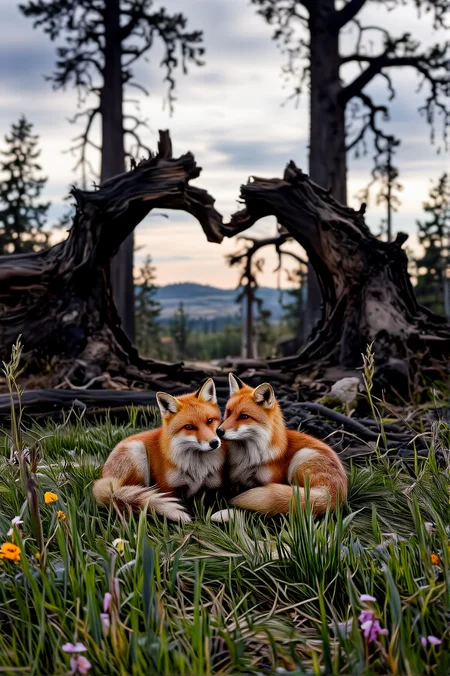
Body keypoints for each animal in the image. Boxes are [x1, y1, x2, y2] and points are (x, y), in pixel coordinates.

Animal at [93, 378, 224, 523]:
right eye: (189, 427)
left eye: (209, 421)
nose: (214, 443)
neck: (197, 468)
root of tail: (104, 475)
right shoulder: (168, 487)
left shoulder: (209, 488)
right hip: (138, 453)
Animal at [211, 374, 347, 522]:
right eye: (228, 412)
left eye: (244, 416)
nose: (219, 431)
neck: (248, 458)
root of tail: (337, 493)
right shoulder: (234, 481)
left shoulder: (270, 481)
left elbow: (262, 510)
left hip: (300, 457)